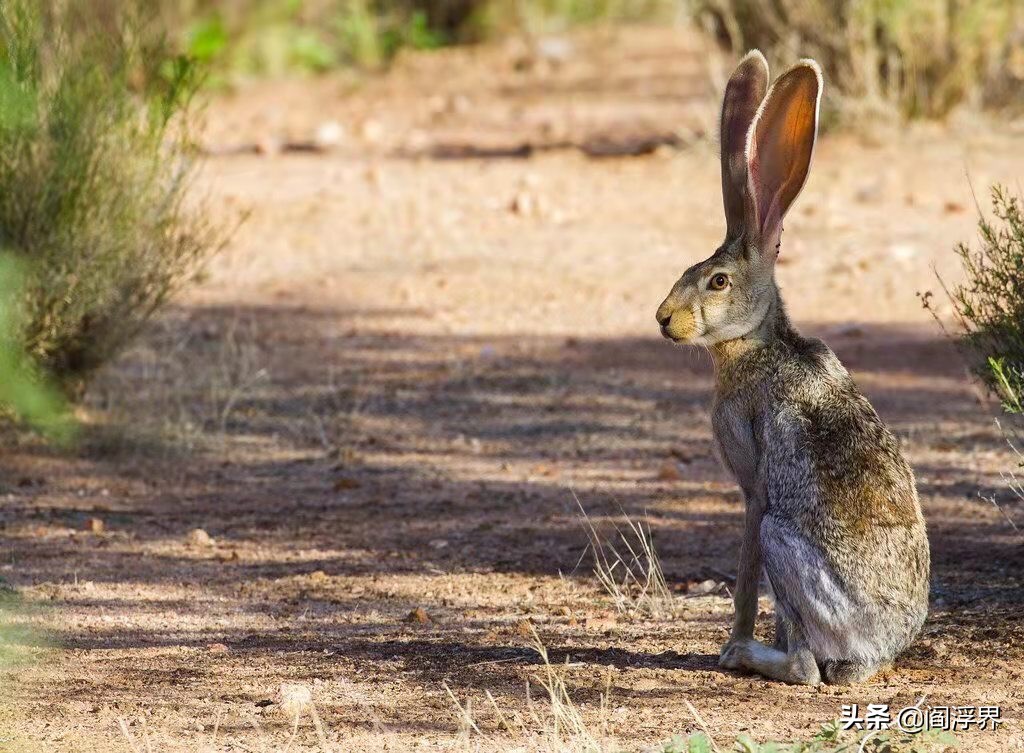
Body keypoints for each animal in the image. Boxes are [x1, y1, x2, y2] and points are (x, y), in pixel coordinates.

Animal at [655, 51, 929, 688]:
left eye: (718, 282)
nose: (664, 319)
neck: (757, 344)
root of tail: (880, 649)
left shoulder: (754, 486)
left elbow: (745, 576)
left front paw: (731, 641)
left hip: (785, 543)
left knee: (807, 667)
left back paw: (747, 655)